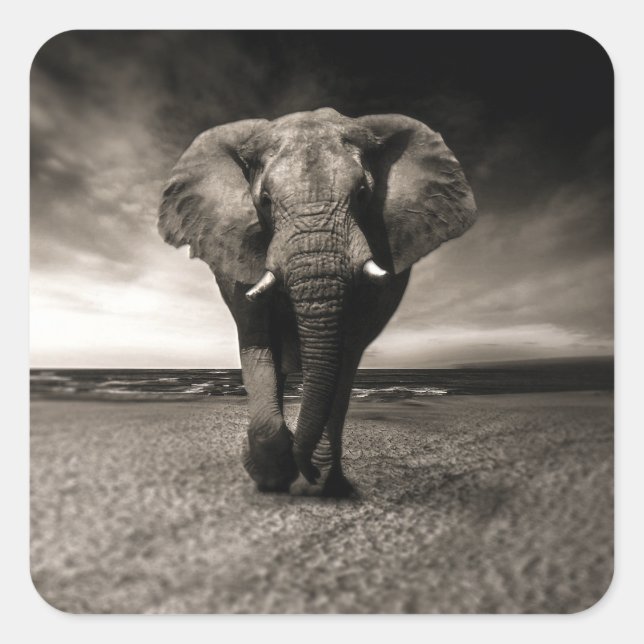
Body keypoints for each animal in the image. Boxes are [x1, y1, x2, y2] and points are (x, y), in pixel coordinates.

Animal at [158, 107, 476, 496]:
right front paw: (272, 475)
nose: (305, 469)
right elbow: (257, 340)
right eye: (265, 201)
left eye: (362, 194)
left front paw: (316, 480)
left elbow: (346, 352)